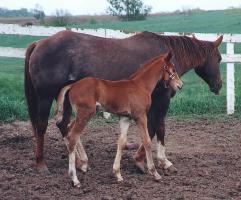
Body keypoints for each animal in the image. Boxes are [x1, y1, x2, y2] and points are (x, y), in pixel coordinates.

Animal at [55, 52, 183, 187]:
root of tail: (73, 85)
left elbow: (121, 142)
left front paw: (117, 174)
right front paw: (155, 173)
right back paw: (75, 179)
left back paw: (83, 164)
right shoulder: (141, 116)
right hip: (85, 113)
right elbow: (147, 141)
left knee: (69, 129)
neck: (140, 86)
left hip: (82, 114)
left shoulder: (125, 118)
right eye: (173, 69)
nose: (180, 85)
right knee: (72, 137)